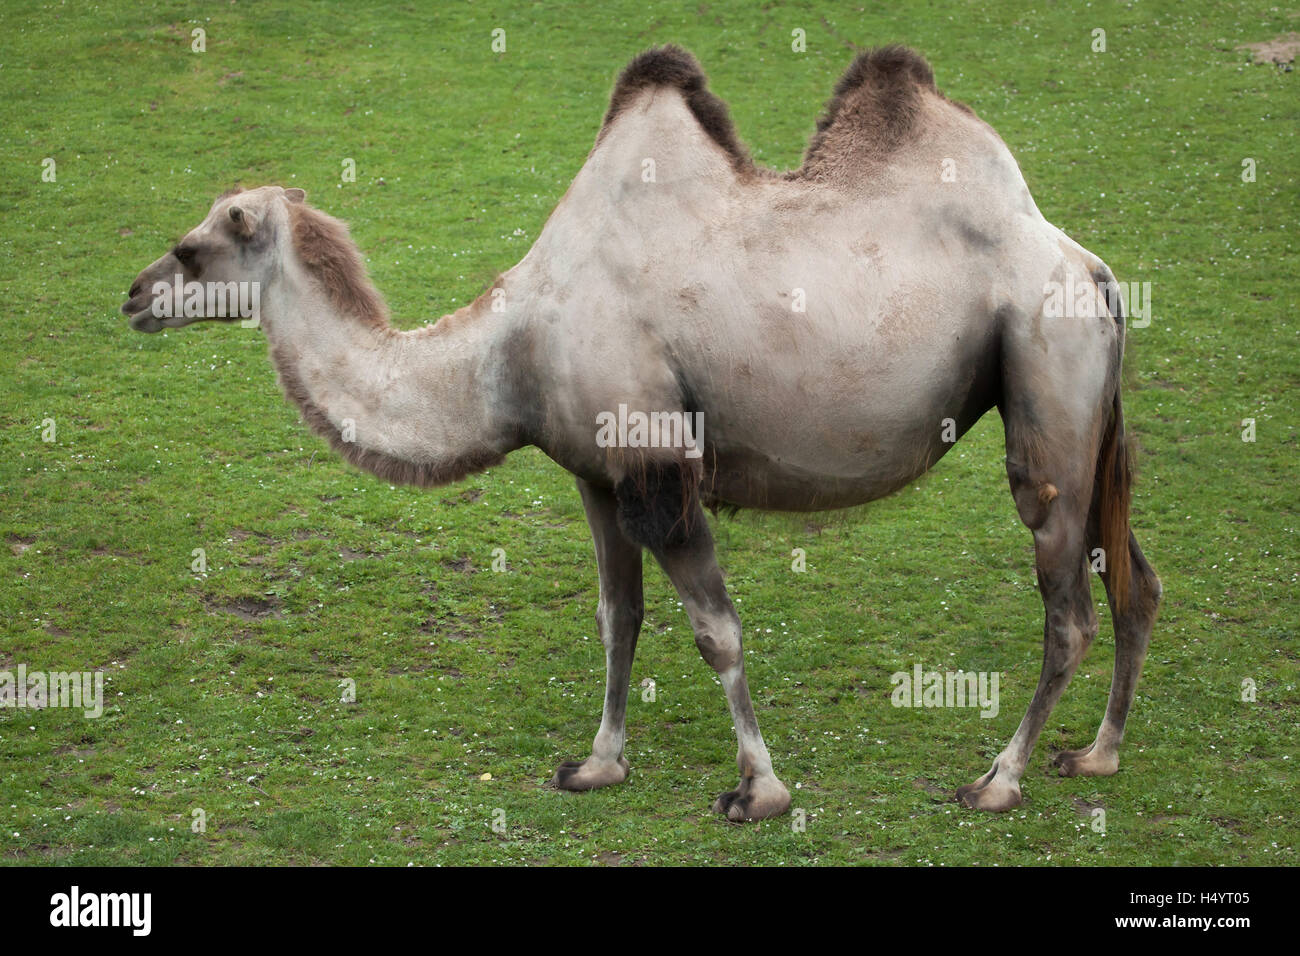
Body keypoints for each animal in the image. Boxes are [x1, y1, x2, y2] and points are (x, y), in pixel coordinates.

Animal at [122, 44, 1164, 822]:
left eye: (192, 247)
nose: (133, 295)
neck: (509, 352)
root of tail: (1091, 266)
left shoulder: (658, 463)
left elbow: (716, 630)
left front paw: (760, 792)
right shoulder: (596, 471)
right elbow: (617, 618)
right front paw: (598, 765)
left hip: (1047, 370)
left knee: (1067, 604)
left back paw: (999, 780)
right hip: (1084, 414)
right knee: (1136, 579)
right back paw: (1099, 755)